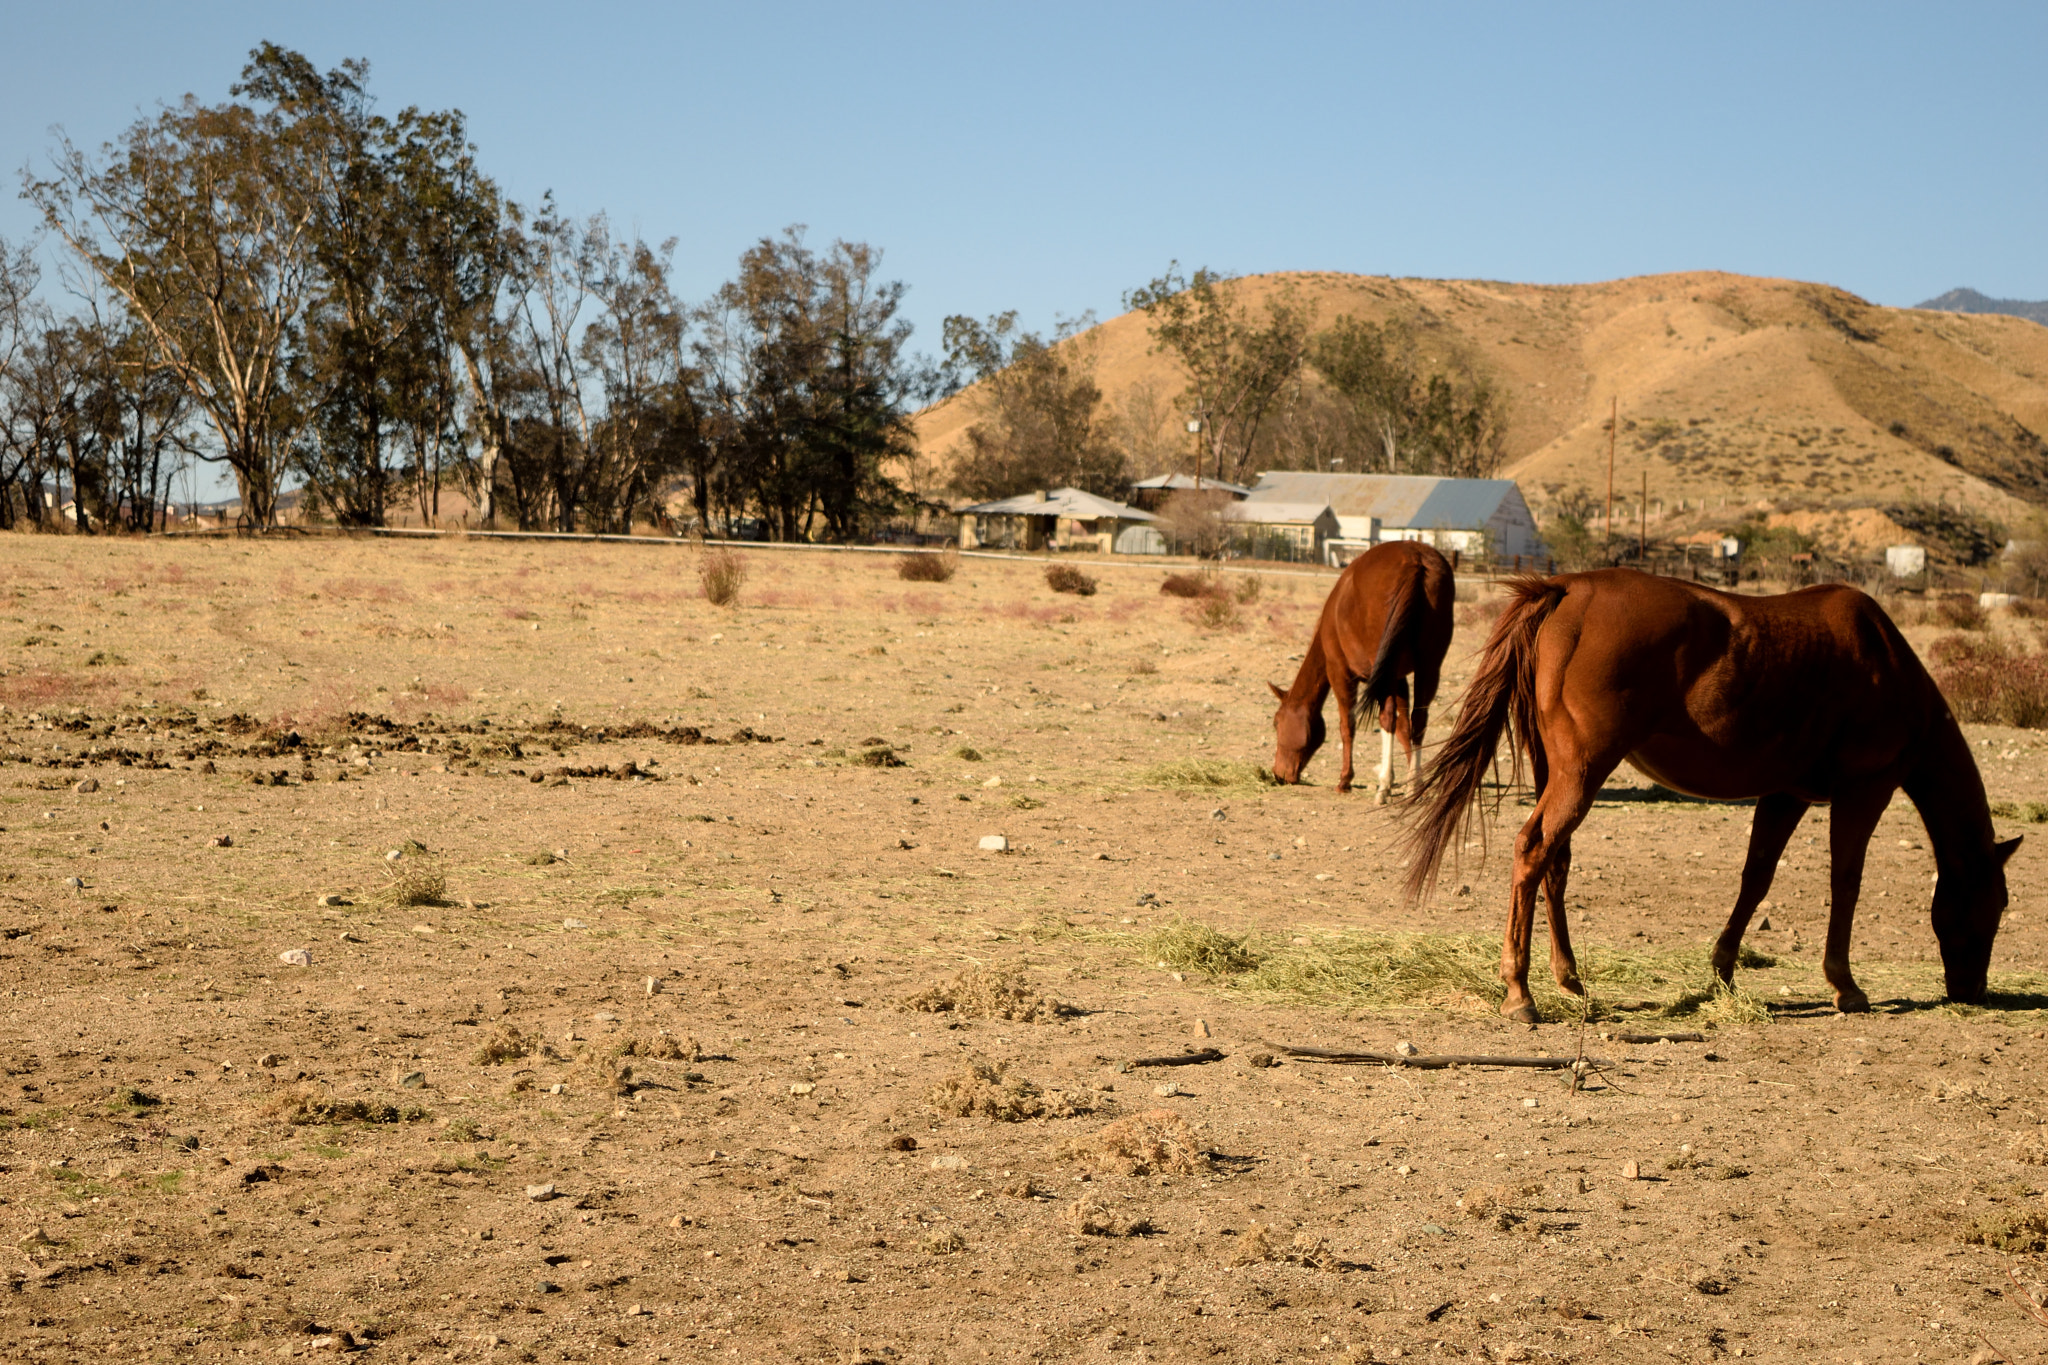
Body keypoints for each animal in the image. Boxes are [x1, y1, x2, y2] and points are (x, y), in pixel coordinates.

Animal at [1261, 540, 1458, 802]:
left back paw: (1383, 786)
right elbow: (1405, 728)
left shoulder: (1340, 672)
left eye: (1276, 722)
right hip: (1428, 667)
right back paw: (1408, 785)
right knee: (1418, 721)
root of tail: (1415, 561)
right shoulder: (1400, 679)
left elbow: (1348, 725)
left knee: (1386, 719)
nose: (1279, 774)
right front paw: (1412, 782)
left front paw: (1345, 780)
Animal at [1409, 564, 2015, 1023]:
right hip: (1581, 774)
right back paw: (1520, 992)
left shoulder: (1786, 795)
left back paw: (1570, 980)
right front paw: (1845, 986)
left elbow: (1756, 878)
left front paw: (1724, 970)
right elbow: (1845, 883)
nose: (1972, 990)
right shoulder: (1864, 791)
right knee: (1533, 850)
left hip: (1555, 772)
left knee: (1553, 864)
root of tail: (1570, 588)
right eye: (1998, 901)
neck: (1885, 664)